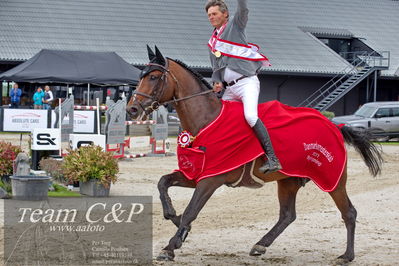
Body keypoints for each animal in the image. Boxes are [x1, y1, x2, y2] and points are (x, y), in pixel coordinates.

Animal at [126, 46, 382, 262]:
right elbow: (163, 183)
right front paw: (174, 217)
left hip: (333, 179)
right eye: (141, 76)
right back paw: (261, 245)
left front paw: (171, 245)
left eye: (154, 77)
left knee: (348, 212)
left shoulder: (211, 179)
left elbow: (191, 210)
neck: (206, 121)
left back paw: (346, 256)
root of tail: (334, 125)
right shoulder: (196, 174)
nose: (132, 109)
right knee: (287, 215)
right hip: (288, 180)